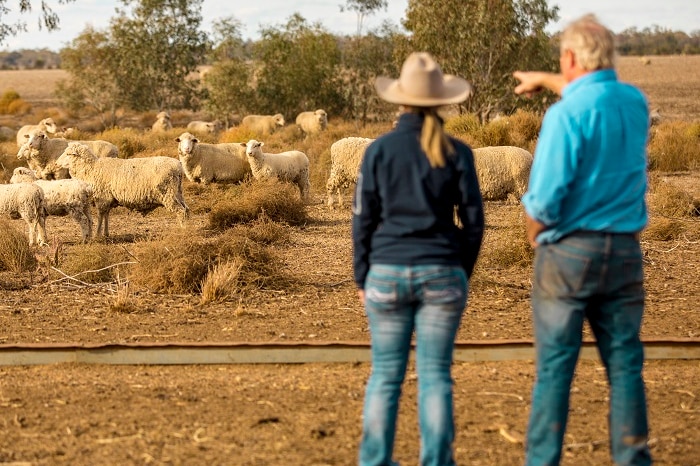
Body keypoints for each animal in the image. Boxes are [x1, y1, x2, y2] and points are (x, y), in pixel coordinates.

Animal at [55, 143, 189, 238]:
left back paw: (183, 230)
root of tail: (178, 166)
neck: (90, 169)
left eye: (68, 154)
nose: (56, 164)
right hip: (178, 192)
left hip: (168, 193)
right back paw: (189, 228)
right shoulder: (107, 198)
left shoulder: (102, 197)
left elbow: (100, 215)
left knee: (181, 211)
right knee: (186, 209)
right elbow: (106, 215)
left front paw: (98, 234)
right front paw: (106, 233)